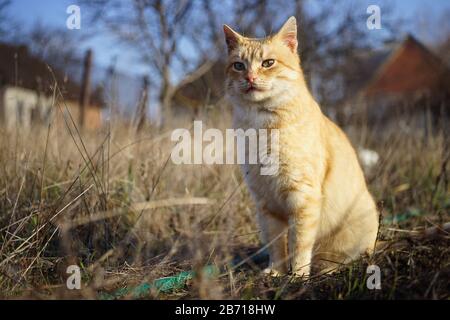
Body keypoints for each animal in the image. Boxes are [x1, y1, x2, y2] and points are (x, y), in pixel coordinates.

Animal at [223, 18, 378, 278]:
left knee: (344, 257)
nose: (250, 78)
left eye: (268, 63)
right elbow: (277, 245)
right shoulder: (266, 203)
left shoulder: (302, 196)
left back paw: (326, 268)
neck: (260, 123)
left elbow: (300, 243)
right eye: (238, 65)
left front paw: (297, 276)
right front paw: (276, 272)